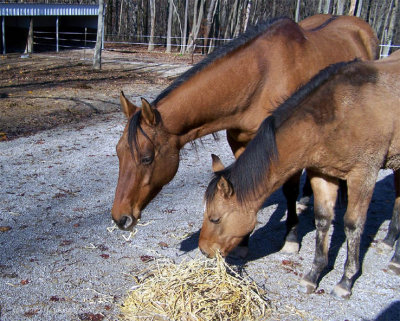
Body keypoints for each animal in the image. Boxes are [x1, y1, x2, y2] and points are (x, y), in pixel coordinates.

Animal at [111, 13, 378, 251]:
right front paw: (243, 243)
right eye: (118, 153)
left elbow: (288, 189)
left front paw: (291, 238)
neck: (261, 77)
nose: (119, 218)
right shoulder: (241, 143)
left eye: (146, 158)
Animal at [199, 50, 400, 298]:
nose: (204, 250)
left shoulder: (363, 175)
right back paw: (389, 242)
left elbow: (353, 225)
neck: (340, 112)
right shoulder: (322, 174)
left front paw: (346, 280)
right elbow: (323, 220)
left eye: (215, 218)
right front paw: (313, 275)